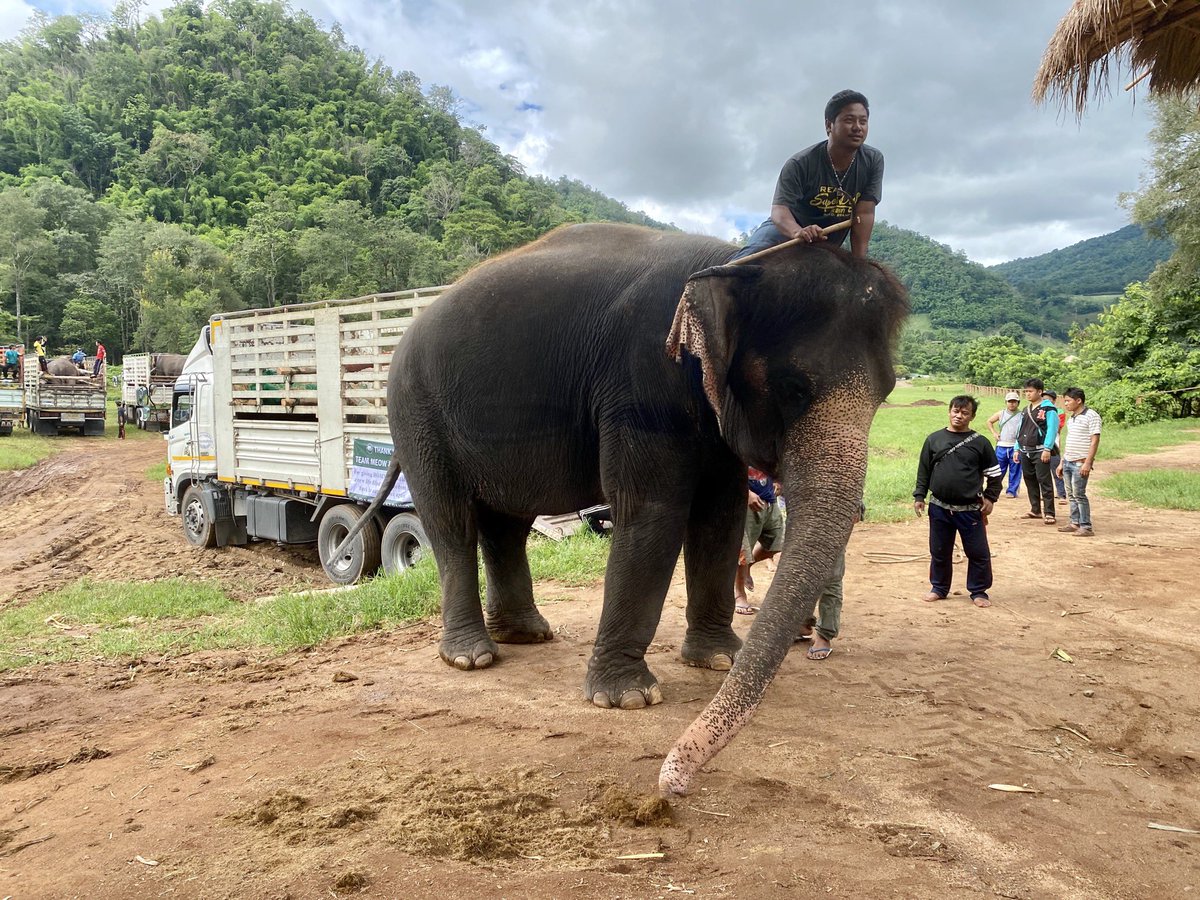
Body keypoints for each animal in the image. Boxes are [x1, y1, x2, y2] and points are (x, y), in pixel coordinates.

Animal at [360, 223, 907, 795]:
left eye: (889, 390)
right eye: (792, 387)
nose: (671, 785)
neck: (735, 261)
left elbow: (720, 515)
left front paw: (720, 659)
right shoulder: (642, 378)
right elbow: (654, 511)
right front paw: (628, 699)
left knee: (506, 523)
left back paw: (527, 634)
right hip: (416, 415)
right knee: (450, 521)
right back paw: (472, 657)